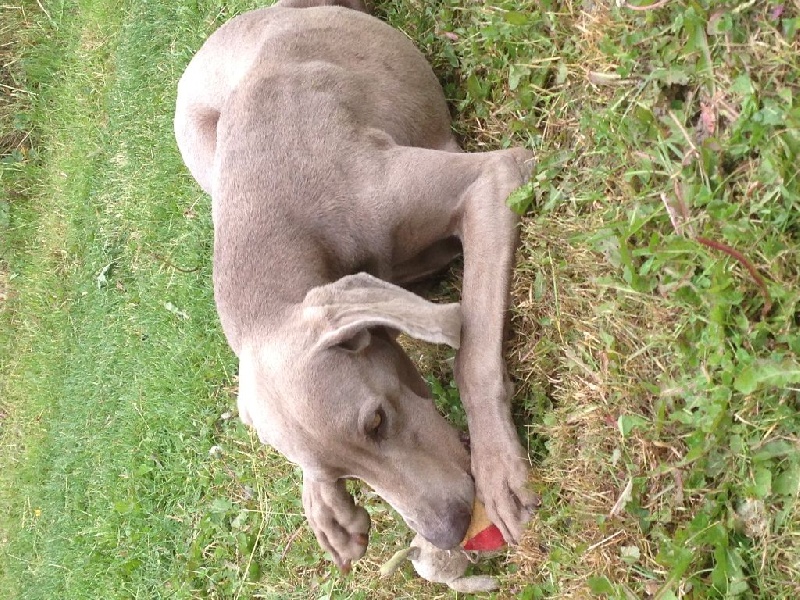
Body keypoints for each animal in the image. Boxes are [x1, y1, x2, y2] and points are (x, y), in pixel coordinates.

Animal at [175, 0, 537, 570]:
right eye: (345, 473)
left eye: (376, 422)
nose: (448, 532)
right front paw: (325, 501)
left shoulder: (492, 178)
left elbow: (472, 357)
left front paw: (499, 468)